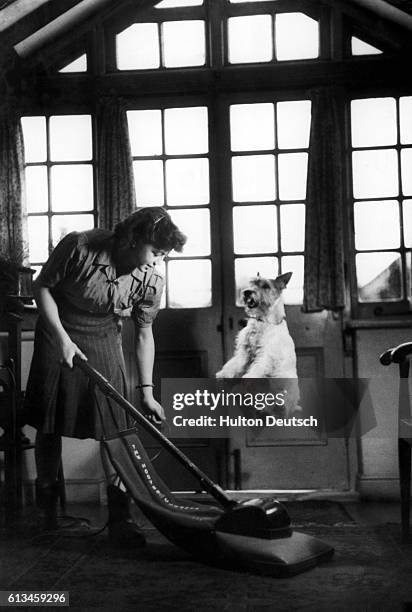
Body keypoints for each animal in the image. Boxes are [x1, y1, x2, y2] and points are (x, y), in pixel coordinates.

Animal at [217, 272, 300, 416]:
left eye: (266, 286)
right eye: (251, 283)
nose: (247, 292)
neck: (262, 321)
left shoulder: (266, 354)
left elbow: (257, 367)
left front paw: (249, 377)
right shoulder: (244, 352)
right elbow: (235, 363)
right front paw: (224, 374)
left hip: (288, 387)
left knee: (283, 406)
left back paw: (278, 408)